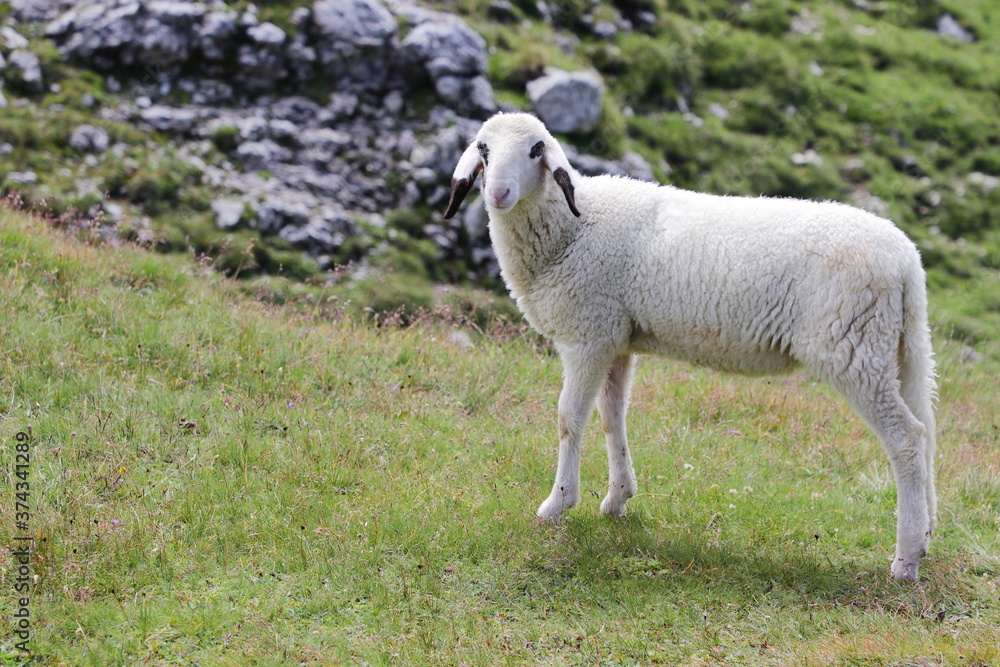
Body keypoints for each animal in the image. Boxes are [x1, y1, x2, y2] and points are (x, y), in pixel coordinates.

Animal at [442, 112, 937, 582]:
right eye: (483, 148)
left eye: (536, 149)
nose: (498, 194)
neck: (572, 228)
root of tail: (907, 261)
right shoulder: (615, 336)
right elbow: (612, 416)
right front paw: (618, 498)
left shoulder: (587, 334)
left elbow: (570, 419)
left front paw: (557, 504)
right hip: (898, 347)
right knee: (927, 430)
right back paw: (928, 533)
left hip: (852, 347)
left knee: (907, 439)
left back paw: (906, 560)